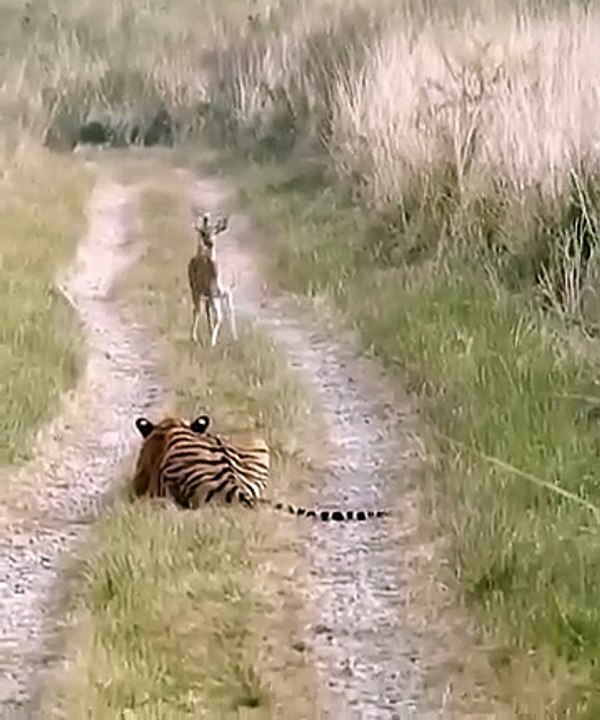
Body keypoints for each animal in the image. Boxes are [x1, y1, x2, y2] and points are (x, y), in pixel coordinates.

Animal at [188, 211, 237, 348]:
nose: (209, 242)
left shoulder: (228, 292)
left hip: (207, 294)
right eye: (204, 233)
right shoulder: (213, 294)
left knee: (207, 310)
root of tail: (197, 254)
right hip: (194, 287)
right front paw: (213, 343)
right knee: (197, 309)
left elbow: (229, 313)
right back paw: (194, 336)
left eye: (216, 232)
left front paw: (235, 338)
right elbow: (219, 317)